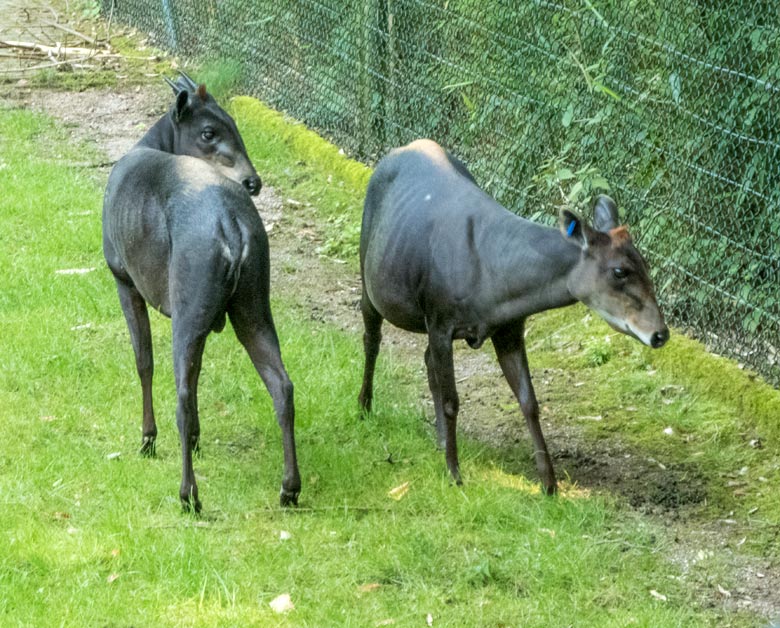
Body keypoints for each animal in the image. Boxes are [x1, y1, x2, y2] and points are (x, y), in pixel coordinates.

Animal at [356, 139, 668, 496]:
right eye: (619, 271)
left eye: (645, 264)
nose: (660, 333)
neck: (494, 282)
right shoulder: (440, 318)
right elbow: (452, 400)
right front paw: (455, 473)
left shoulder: (508, 328)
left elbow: (528, 401)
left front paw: (549, 485)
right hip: (369, 271)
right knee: (372, 337)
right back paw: (364, 407)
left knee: (425, 359)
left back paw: (438, 439)